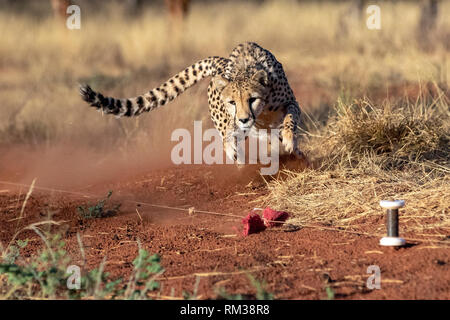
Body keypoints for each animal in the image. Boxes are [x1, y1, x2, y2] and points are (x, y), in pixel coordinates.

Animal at [80, 42, 306, 162]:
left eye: (252, 99)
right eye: (232, 102)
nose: (243, 119)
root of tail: (221, 62)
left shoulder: (291, 102)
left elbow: (289, 119)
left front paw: (289, 139)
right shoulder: (238, 121)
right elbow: (238, 133)